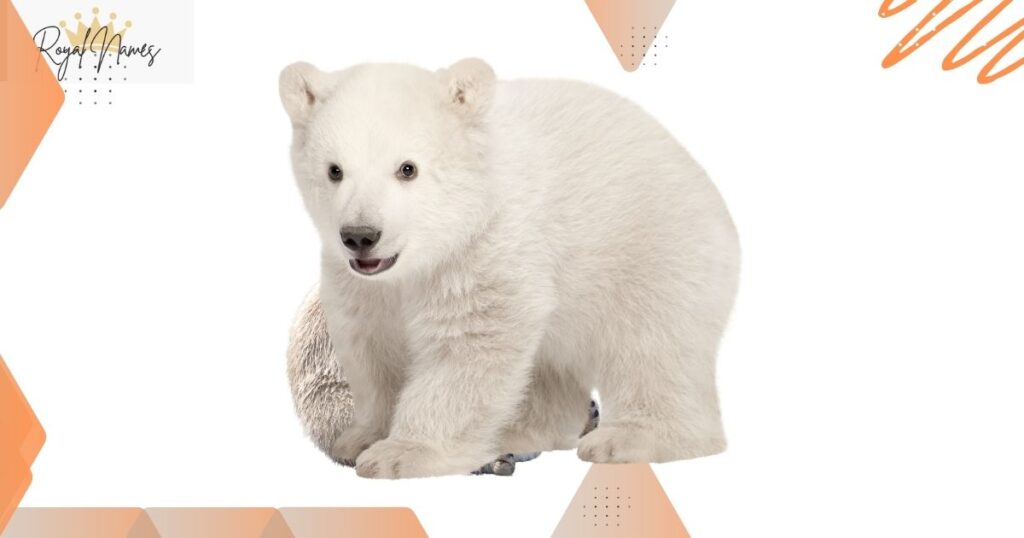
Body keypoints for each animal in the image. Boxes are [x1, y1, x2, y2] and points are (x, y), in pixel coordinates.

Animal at [278, 58, 740, 479]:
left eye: (407, 168)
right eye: (334, 170)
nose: (361, 235)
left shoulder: (488, 249)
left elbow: (469, 347)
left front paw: (400, 453)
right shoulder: (359, 284)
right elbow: (375, 349)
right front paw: (362, 437)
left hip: (653, 250)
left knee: (652, 346)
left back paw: (628, 437)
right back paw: (518, 431)